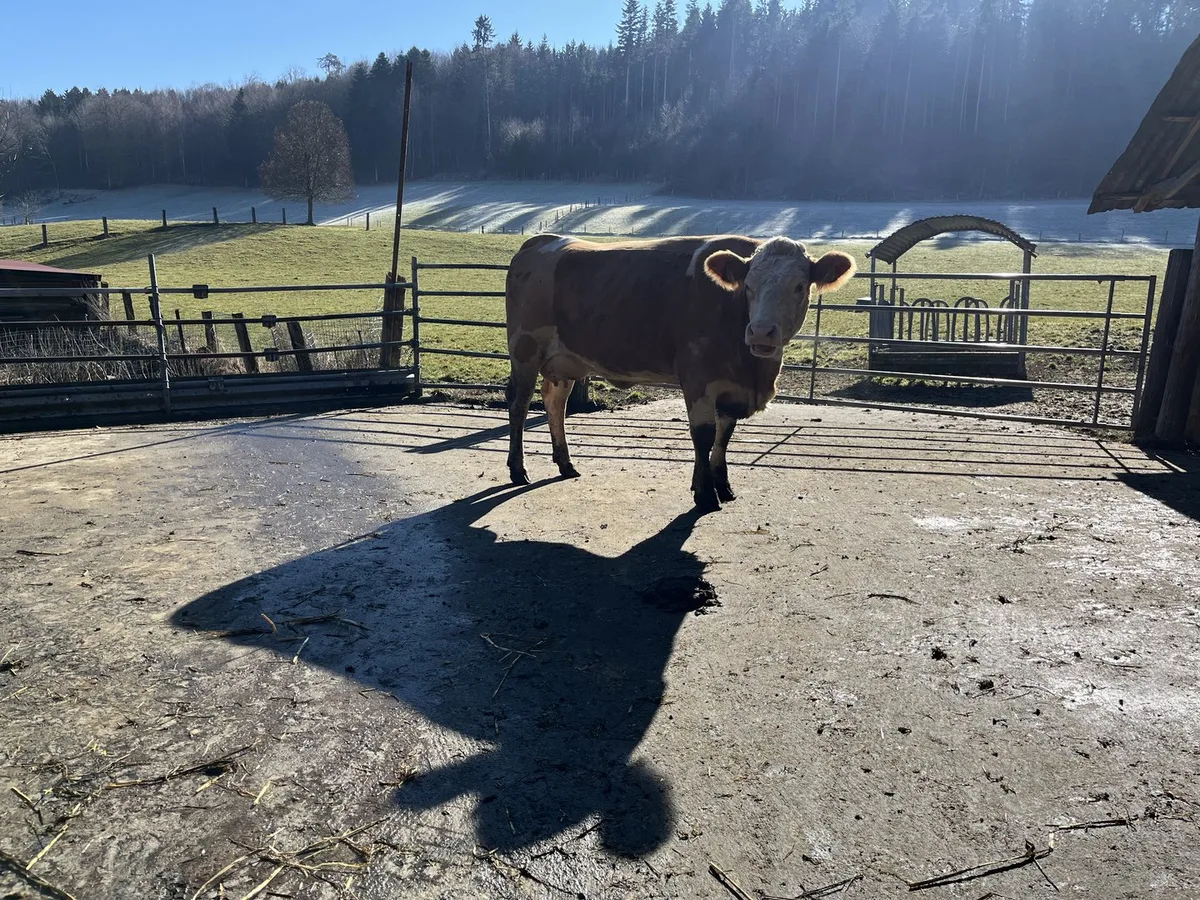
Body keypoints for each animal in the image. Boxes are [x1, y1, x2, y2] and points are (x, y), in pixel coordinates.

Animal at [504, 234, 857, 511]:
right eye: (748, 286)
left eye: (799, 286)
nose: (760, 333)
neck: (752, 370)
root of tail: (541, 241)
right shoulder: (697, 377)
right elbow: (703, 436)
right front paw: (704, 494)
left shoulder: (731, 387)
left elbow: (724, 436)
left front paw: (723, 485)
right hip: (525, 350)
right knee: (519, 406)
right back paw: (517, 469)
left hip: (564, 362)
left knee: (554, 404)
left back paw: (565, 463)